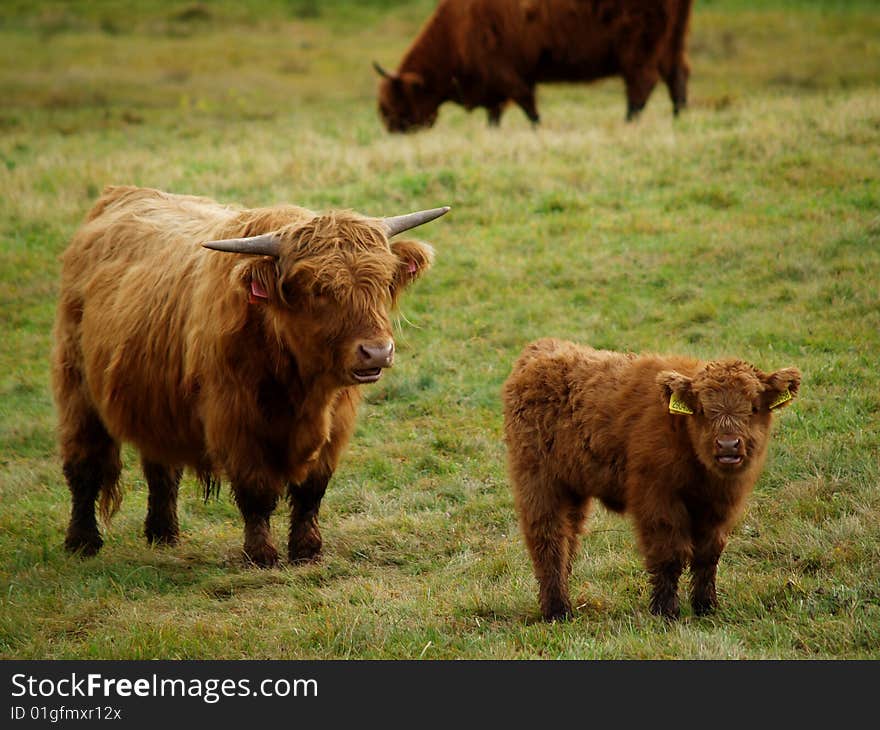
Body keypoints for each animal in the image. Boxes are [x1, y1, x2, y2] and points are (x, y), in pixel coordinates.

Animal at [49, 185, 446, 564]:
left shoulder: (337, 421)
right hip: (77, 388)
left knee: (161, 467)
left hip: (155, 398)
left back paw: (163, 534)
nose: (377, 351)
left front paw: (308, 549)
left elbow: (311, 490)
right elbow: (257, 492)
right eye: (317, 288)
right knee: (84, 465)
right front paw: (261, 554)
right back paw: (82, 542)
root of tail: (118, 195)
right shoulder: (234, 420)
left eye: (383, 281)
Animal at [372, 0, 696, 131]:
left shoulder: (507, 76)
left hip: (639, 45)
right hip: (672, 40)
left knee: (642, 84)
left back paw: (629, 123)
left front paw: (537, 129)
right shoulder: (494, 84)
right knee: (677, 76)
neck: (458, 27)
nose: (389, 125)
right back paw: (679, 119)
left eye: (397, 98)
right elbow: (496, 114)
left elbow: (527, 107)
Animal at [502, 338, 796, 616]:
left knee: (568, 539)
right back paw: (558, 610)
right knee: (547, 539)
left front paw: (706, 606)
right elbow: (669, 555)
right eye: (702, 409)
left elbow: (708, 555)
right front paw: (666, 610)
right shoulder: (657, 498)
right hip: (538, 480)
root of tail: (540, 348)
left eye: (754, 407)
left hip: (572, 488)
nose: (727, 445)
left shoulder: (719, 507)